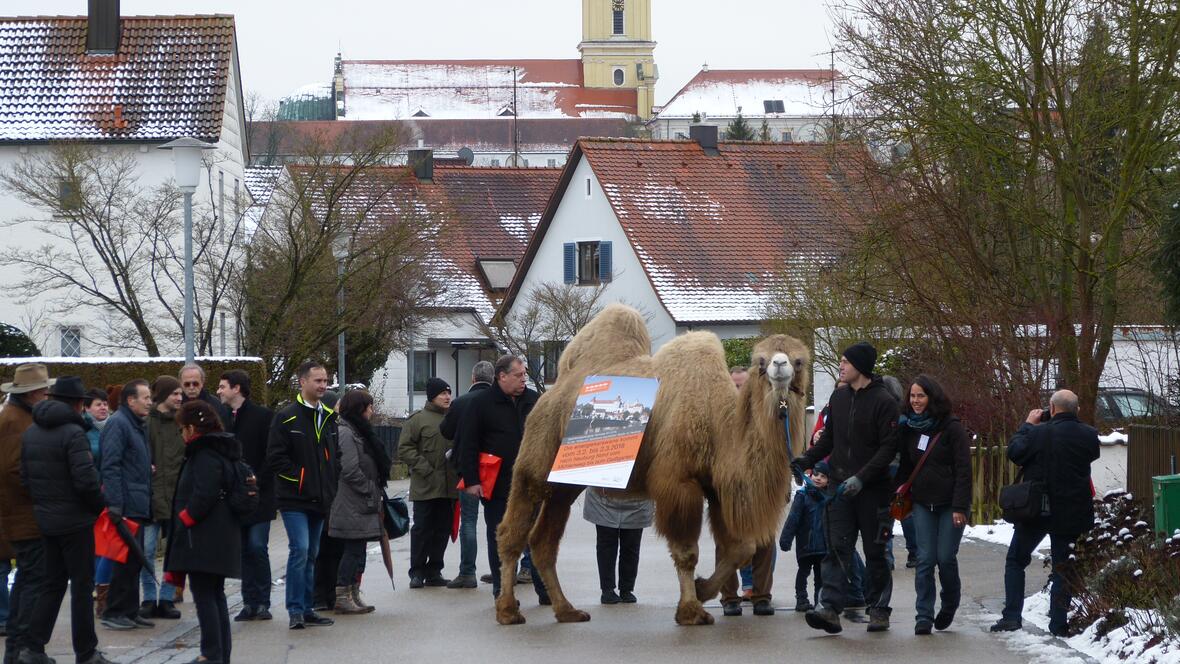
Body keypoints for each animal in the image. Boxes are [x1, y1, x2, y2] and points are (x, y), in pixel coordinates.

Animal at [490, 304, 811, 627]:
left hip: (564, 482)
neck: (717, 422)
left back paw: (566, 610)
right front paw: (691, 611)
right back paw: (508, 610)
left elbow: (741, 548)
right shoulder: (678, 482)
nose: (779, 366)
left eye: (799, 361)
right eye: (761, 361)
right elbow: (687, 552)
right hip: (538, 457)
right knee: (513, 528)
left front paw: (702, 589)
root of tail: (554, 389)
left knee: (543, 540)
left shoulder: (717, 486)